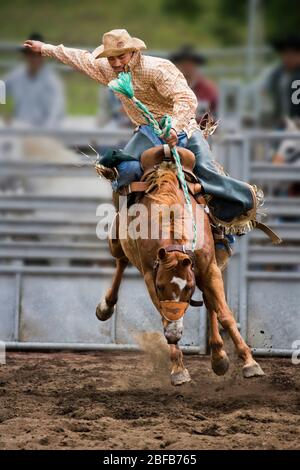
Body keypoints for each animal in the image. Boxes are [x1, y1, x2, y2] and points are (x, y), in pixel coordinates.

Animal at [95, 158, 264, 386]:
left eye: (189, 288)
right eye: (160, 287)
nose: (174, 336)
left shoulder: (209, 269)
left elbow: (225, 314)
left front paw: (249, 362)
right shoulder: (150, 277)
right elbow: (165, 316)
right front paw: (178, 369)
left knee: (210, 303)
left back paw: (219, 357)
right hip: (116, 242)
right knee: (121, 263)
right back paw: (105, 307)